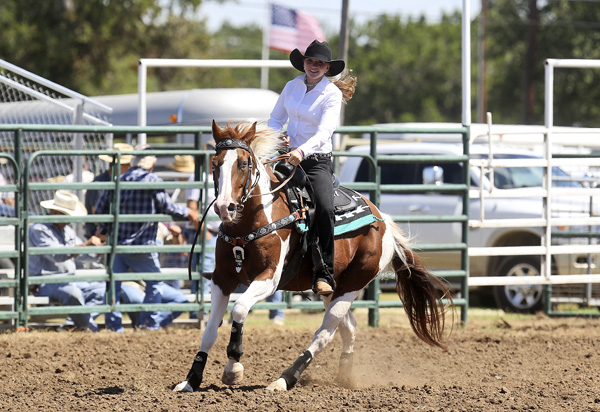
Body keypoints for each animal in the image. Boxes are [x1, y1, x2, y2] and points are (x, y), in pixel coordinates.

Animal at [172, 120, 450, 392]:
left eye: (243, 163)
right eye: (215, 164)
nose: (224, 207)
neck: (255, 219)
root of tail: (383, 222)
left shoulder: (269, 279)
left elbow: (239, 309)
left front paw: (233, 368)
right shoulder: (222, 279)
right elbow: (210, 329)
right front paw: (191, 380)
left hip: (354, 284)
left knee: (326, 332)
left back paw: (285, 379)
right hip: (332, 289)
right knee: (348, 327)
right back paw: (344, 377)